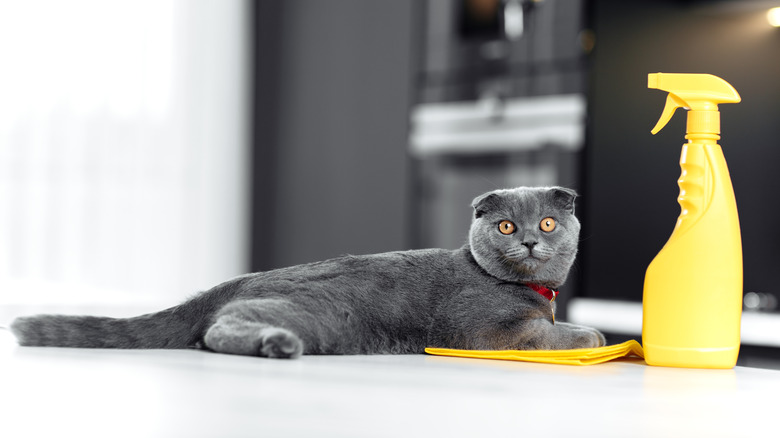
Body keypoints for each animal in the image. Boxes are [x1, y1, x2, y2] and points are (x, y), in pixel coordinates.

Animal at [10, 186, 604, 358]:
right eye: (505, 226)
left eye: (548, 222)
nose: (529, 239)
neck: (538, 293)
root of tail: (233, 282)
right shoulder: (489, 332)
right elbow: (554, 334)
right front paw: (593, 334)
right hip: (318, 313)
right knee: (215, 331)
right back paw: (276, 344)